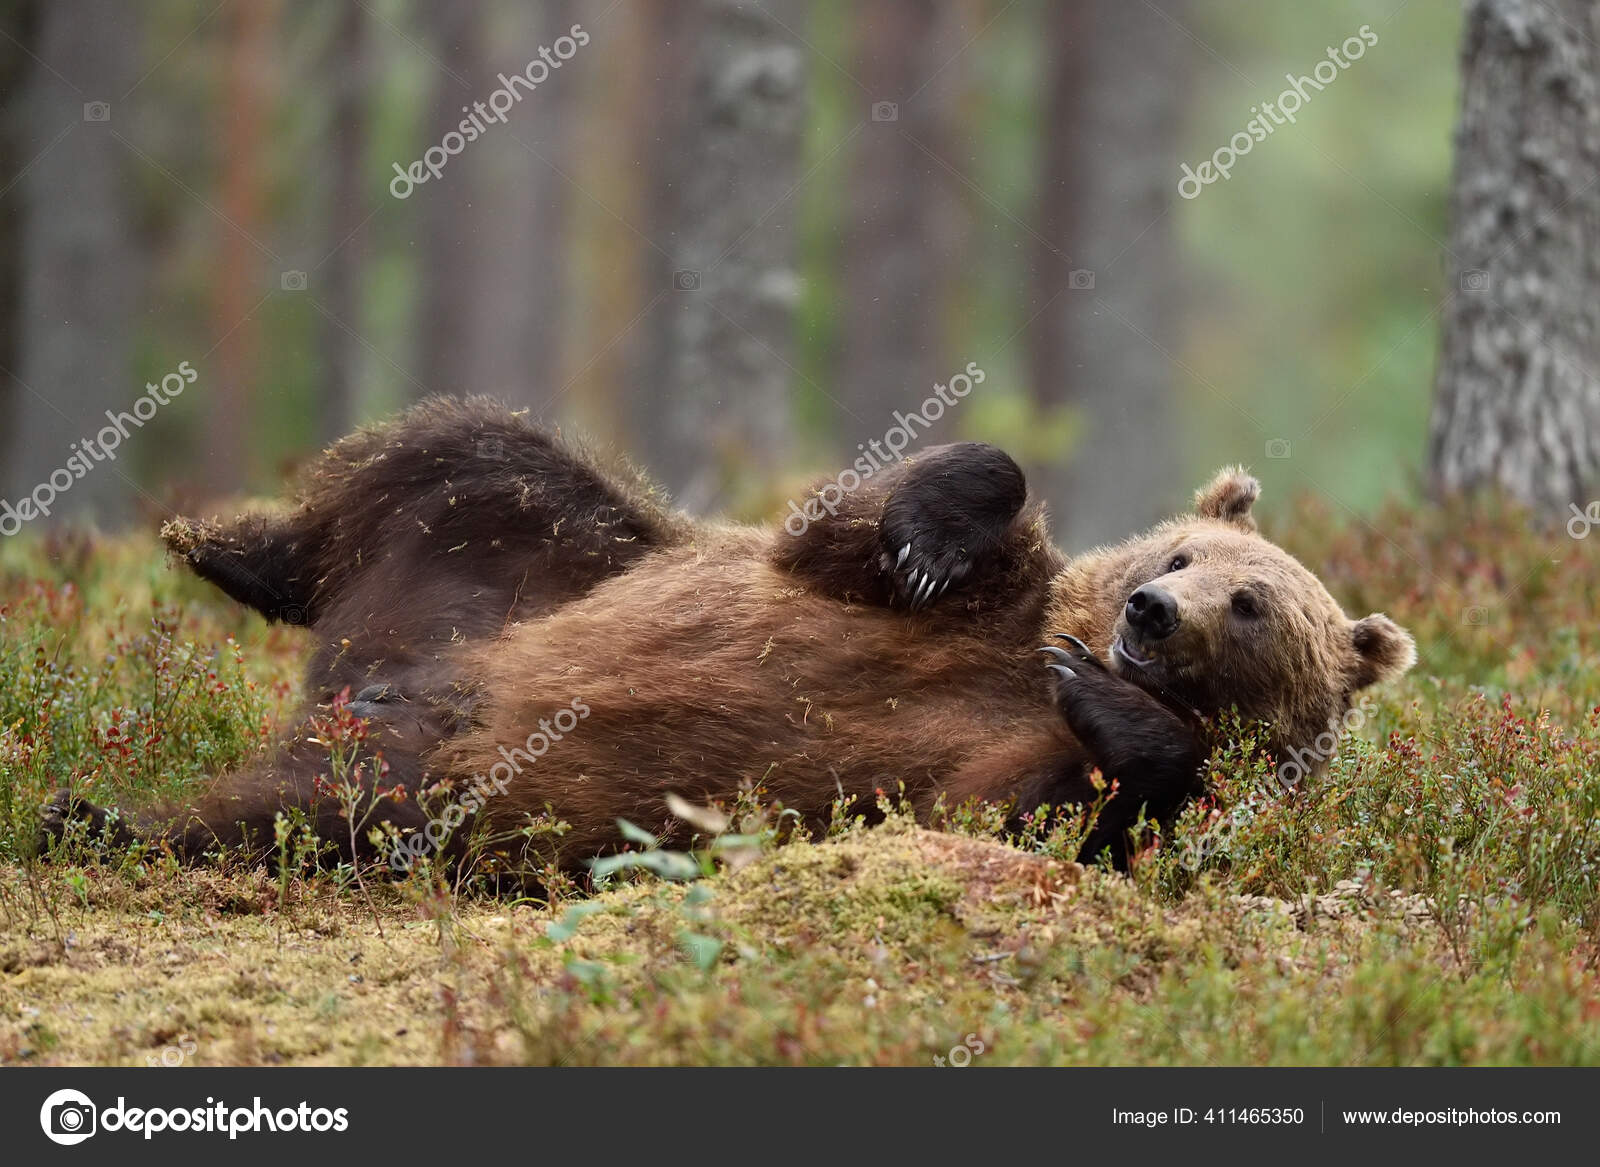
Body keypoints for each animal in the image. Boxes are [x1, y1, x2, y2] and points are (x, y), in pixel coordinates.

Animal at [43, 396, 1416, 873]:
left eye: (1252, 607)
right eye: (1178, 555)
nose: (1146, 614)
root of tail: (355, 687)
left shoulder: (994, 765)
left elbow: (1053, 815)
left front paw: (1106, 702)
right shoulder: (944, 603)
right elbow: (880, 519)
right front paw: (933, 534)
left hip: (422, 785)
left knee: (287, 817)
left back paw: (96, 816)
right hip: (524, 571)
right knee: (463, 459)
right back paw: (222, 549)